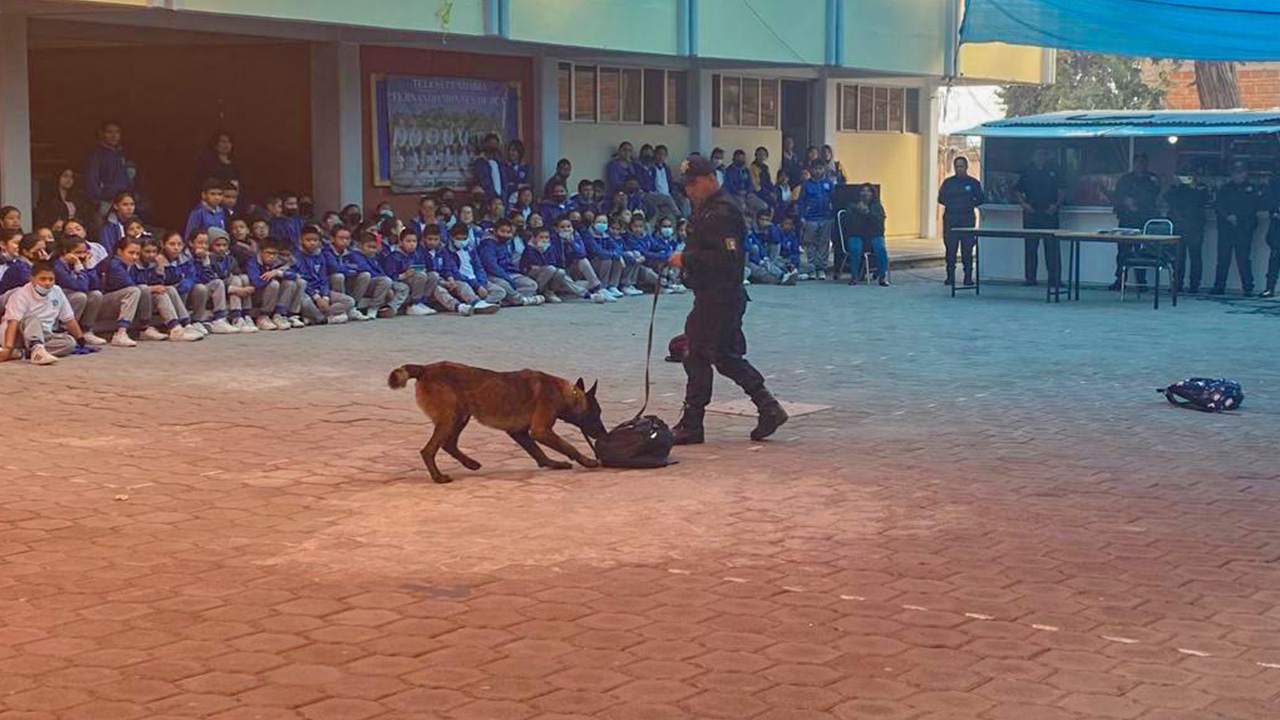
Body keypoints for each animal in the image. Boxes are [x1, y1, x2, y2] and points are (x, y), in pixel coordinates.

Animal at [386, 358, 606, 481]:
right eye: (597, 414)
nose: (604, 434)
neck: (566, 393)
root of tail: (425, 368)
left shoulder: (520, 433)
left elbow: (538, 453)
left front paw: (553, 464)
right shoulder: (541, 431)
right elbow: (569, 447)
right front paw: (587, 461)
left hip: (461, 417)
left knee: (449, 444)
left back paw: (470, 464)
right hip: (451, 418)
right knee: (429, 450)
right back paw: (438, 477)